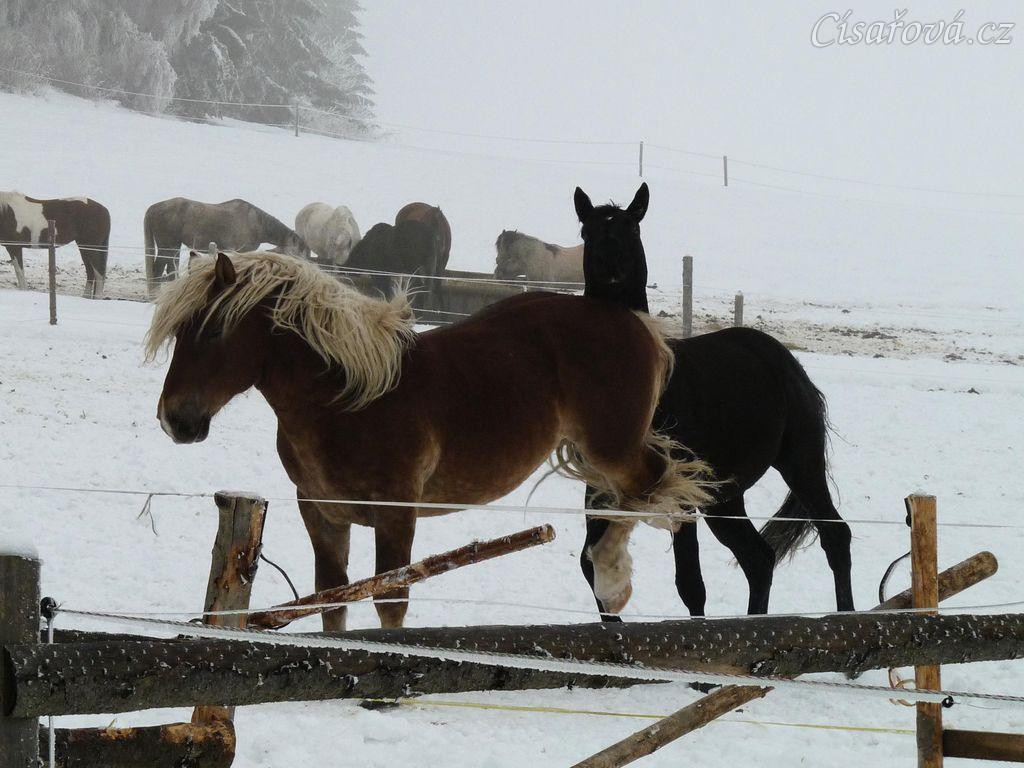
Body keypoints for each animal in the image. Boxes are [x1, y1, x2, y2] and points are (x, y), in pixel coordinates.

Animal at [143, 198, 310, 297]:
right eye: (298, 252)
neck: (255, 223)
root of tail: (152, 208)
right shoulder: (235, 250)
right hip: (167, 246)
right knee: (158, 268)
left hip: (173, 247)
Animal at [148, 250, 714, 630]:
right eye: (179, 332)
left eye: (214, 329)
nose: (175, 420)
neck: (347, 398)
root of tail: (633, 322)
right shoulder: (321, 511)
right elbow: (333, 595)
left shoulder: (396, 511)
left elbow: (390, 597)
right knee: (648, 494)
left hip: (612, 447)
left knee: (655, 489)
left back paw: (613, 581)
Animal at [573, 183, 854, 618]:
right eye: (588, 232)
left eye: (632, 228)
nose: (612, 265)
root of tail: (789, 366)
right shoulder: (599, 491)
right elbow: (591, 568)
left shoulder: (681, 494)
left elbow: (690, 584)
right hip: (725, 498)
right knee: (759, 559)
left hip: (799, 464)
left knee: (835, 536)